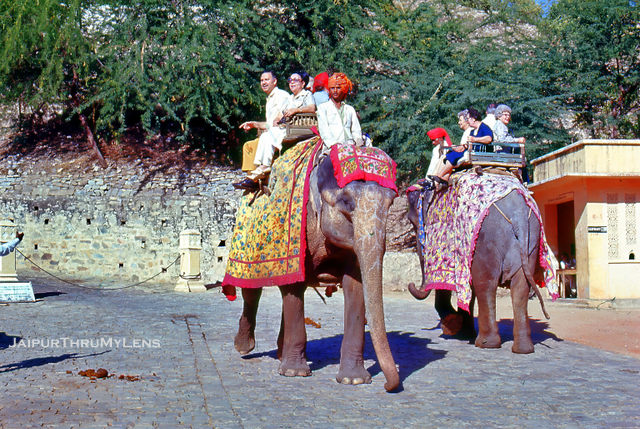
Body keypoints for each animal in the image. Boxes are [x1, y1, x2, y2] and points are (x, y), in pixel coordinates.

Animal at [233, 154, 400, 392]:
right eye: (346, 202)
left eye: (391, 202)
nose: (387, 385)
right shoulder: (297, 229)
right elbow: (292, 284)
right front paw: (294, 374)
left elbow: (355, 285)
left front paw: (354, 380)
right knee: (251, 287)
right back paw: (244, 348)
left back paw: (280, 353)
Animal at [406, 178, 549, 354]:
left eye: (412, 221)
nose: (411, 284)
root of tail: (519, 214)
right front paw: (462, 331)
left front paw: (453, 326)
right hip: (531, 240)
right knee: (520, 287)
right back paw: (522, 349)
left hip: (484, 241)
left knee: (486, 285)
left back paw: (485, 344)